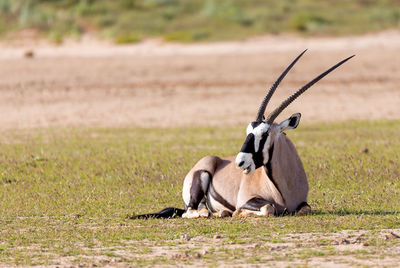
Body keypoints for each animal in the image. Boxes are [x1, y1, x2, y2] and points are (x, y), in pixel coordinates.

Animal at [134, 51, 354, 219]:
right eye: (248, 130)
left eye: (264, 133)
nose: (240, 162)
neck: (285, 185)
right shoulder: (248, 200)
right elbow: (268, 207)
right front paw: (240, 213)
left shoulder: (303, 204)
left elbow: (305, 209)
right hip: (200, 181)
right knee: (191, 211)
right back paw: (218, 213)